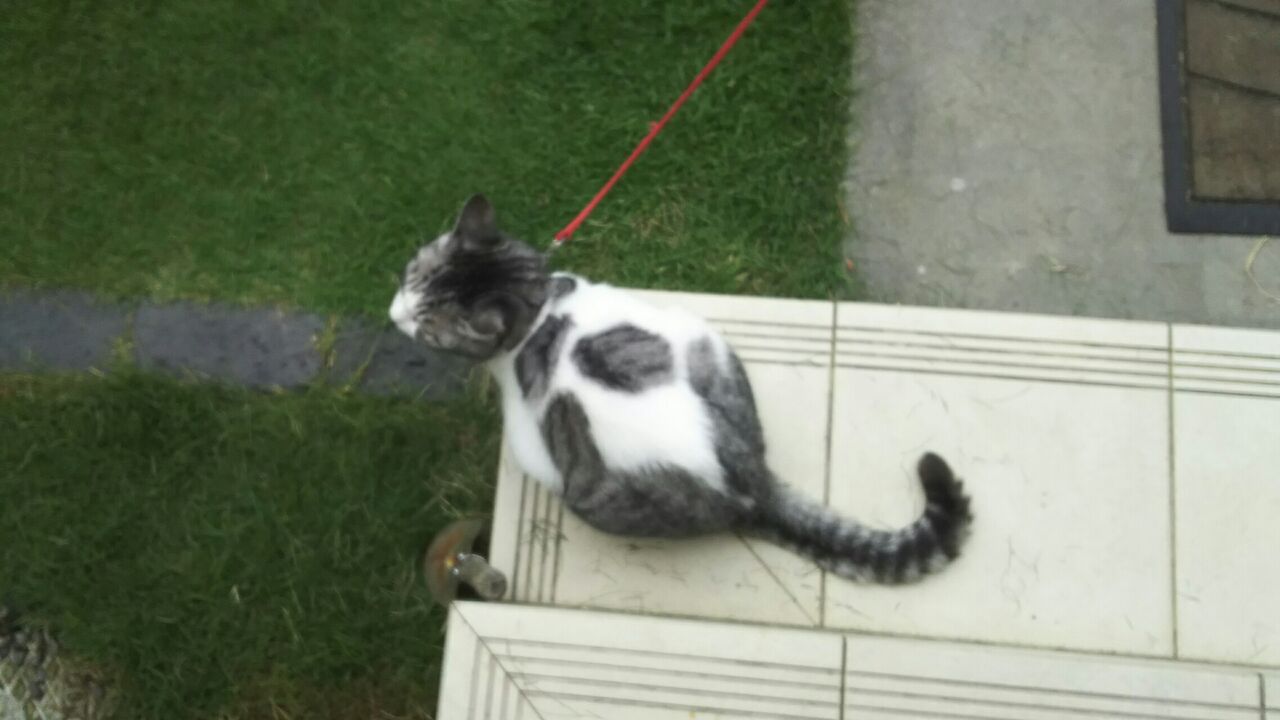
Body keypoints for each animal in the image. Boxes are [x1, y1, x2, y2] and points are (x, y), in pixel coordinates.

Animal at [390, 194, 972, 583]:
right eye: (409, 273)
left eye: (426, 326)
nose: (392, 313)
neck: (540, 312)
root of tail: (750, 486)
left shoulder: (530, 443)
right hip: (704, 338)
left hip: (593, 494)